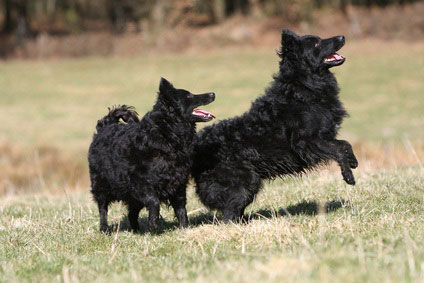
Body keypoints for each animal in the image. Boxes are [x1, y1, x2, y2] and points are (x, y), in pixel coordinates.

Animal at [88, 78, 215, 233]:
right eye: (189, 96)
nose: (213, 93)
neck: (167, 133)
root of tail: (105, 126)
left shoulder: (178, 182)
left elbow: (181, 209)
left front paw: (184, 229)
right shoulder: (141, 184)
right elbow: (154, 202)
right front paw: (154, 225)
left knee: (131, 214)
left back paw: (137, 231)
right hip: (102, 186)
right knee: (103, 209)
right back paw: (104, 228)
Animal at [192, 29, 358, 224]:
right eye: (316, 43)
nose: (342, 37)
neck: (302, 88)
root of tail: (197, 145)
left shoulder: (324, 137)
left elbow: (345, 144)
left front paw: (353, 161)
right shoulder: (307, 142)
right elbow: (338, 149)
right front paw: (348, 176)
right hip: (246, 181)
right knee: (229, 214)